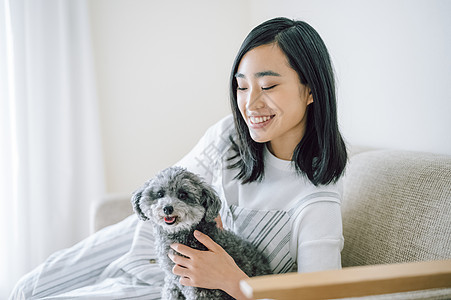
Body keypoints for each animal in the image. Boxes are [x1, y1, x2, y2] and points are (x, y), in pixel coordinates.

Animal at [131, 166, 272, 300]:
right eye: (160, 193)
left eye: (183, 195)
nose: (167, 208)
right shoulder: (173, 281)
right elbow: (170, 293)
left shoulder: (202, 289)